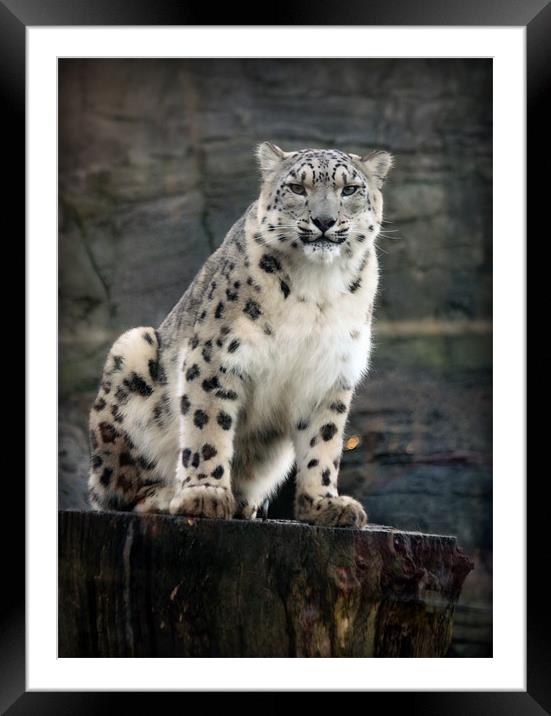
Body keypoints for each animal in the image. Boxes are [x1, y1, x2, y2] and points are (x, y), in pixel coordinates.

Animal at [87, 143, 392, 528]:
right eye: (298, 188)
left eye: (349, 189)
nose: (324, 221)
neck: (317, 285)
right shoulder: (216, 356)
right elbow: (207, 425)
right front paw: (205, 494)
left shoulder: (330, 372)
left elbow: (323, 441)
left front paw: (324, 503)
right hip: (131, 350)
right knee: (118, 491)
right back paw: (168, 495)